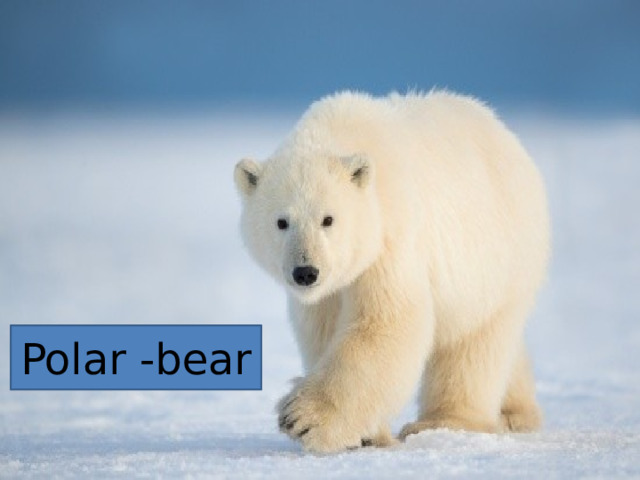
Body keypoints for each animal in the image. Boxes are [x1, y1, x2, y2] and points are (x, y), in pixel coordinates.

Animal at [233, 90, 550, 453]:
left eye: (328, 219)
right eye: (281, 221)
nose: (306, 272)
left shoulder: (391, 239)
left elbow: (386, 323)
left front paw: (303, 418)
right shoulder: (327, 292)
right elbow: (323, 332)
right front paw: (367, 434)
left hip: (497, 259)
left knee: (472, 344)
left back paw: (445, 421)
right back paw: (515, 412)